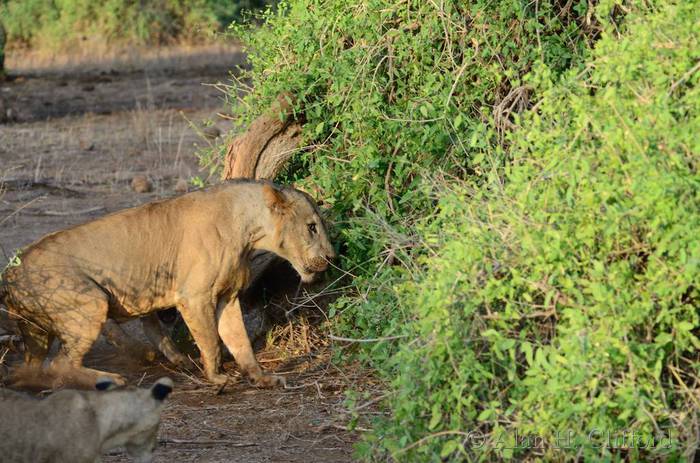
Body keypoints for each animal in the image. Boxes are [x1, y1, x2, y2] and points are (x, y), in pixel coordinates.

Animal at [0, 180, 335, 387]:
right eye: (312, 227)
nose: (332, 256)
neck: (248, 233)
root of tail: (10, 273)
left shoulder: (228, 297)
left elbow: (238, 340)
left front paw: (261, 378)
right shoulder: (195, 297)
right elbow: (210, 340)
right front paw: (217, 377)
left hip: (35, 331)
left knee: (32, 367)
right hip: (90, 301)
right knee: (59, 365)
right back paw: (110, 380)